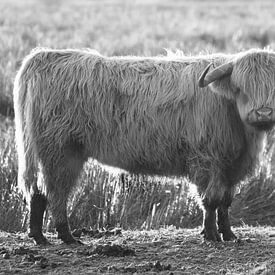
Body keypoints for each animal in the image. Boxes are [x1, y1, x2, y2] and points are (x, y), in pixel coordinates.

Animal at [14, 48, 275, 246]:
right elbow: (210, 201)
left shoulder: (231, 167)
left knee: (38, 193)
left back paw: (39, 237)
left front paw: (229, 234)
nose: (263, 113)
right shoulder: (207, 161)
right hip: (60, 153)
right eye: (241, 88)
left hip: (45, 153)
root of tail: (42, 56)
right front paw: (211, 235)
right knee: (56, 193)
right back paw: (66, 237)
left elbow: (226, 202)